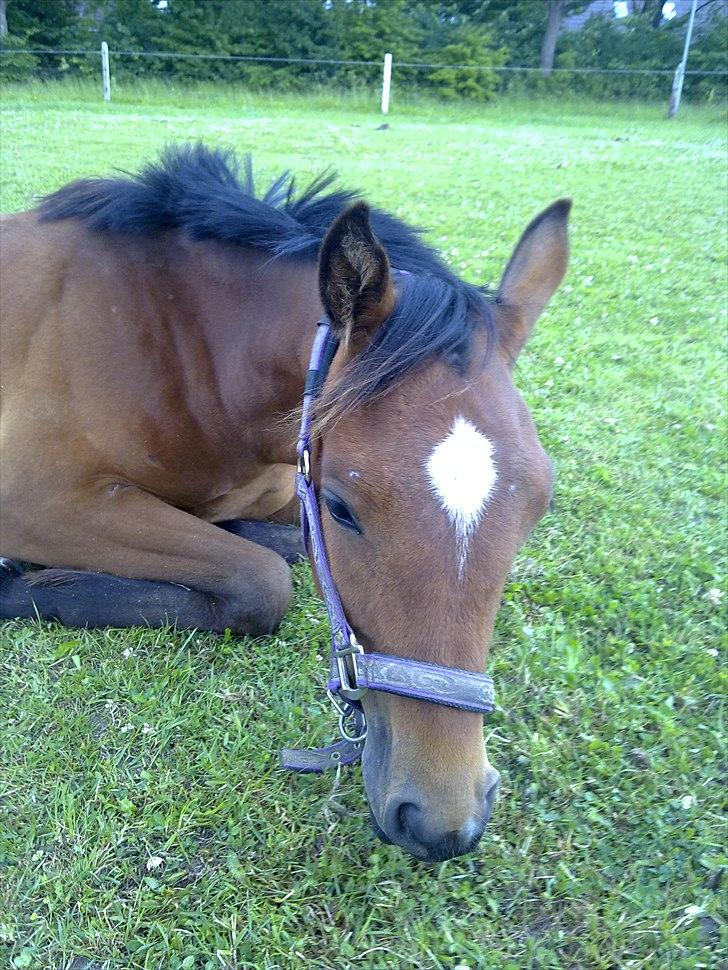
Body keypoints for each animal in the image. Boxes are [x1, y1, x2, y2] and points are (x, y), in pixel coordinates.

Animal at [0, 146, 568, 864]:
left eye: (537, 507)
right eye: (342, 506)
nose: (444, 821)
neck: (185, 353)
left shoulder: (279, 484)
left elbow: (281, 552)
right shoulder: (36, 500)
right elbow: (264, 579)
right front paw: (24, 584)